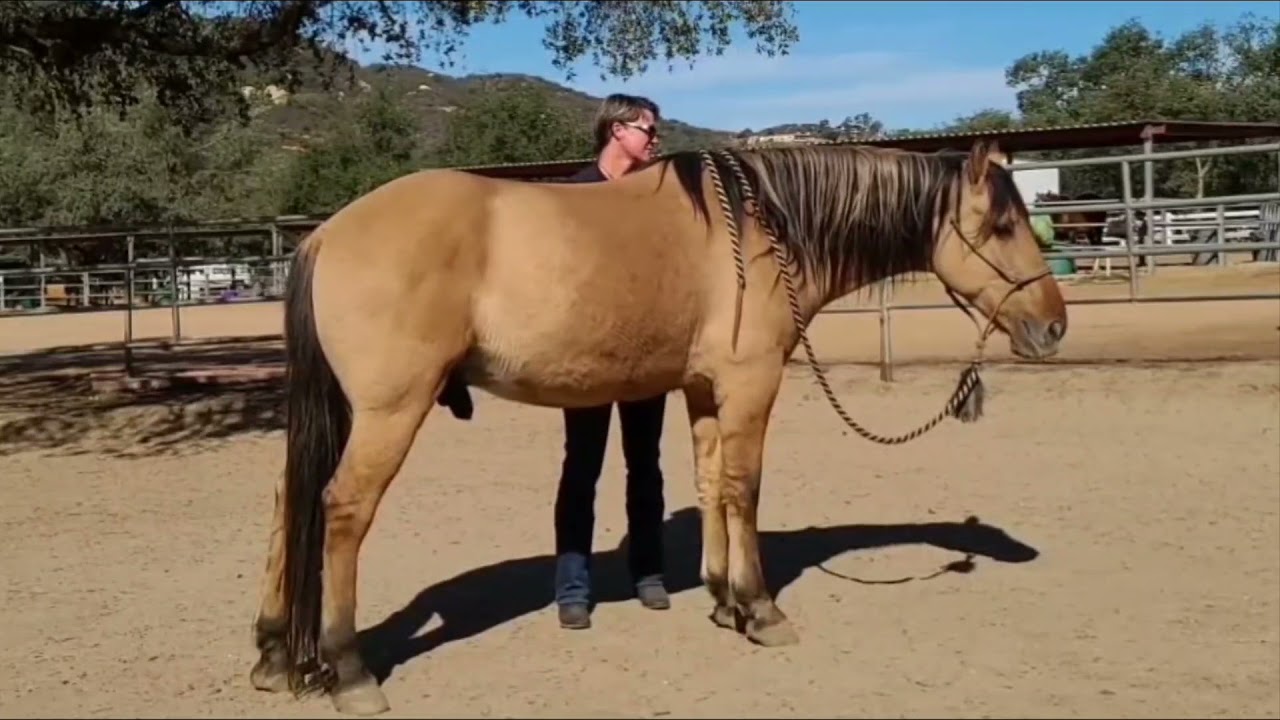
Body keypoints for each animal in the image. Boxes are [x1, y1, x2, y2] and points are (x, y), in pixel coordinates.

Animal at [248, 140, 1068, 715]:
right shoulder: (750, 386)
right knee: (342, 510)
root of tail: (325, 234)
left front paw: (722, 598)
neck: (766, 227)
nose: (1055, 326)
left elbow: (712, 486)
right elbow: (746, 487)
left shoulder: (704, 391)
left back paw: (272, 653)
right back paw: (350, 671)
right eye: (1002, 224)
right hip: (390, 411)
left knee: (291, 502)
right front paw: (761, 610)